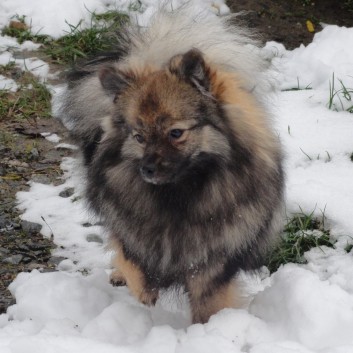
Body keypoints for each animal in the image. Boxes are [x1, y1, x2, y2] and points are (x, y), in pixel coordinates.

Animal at [56, 4, 284, 324]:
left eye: (176, 133)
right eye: (139, 136)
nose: (147, 169)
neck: (178, 197)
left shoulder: (213, 260)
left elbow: (208, 303)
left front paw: (207, 328)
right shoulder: (131, 232)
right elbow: (134, 266)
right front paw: (144, 290)